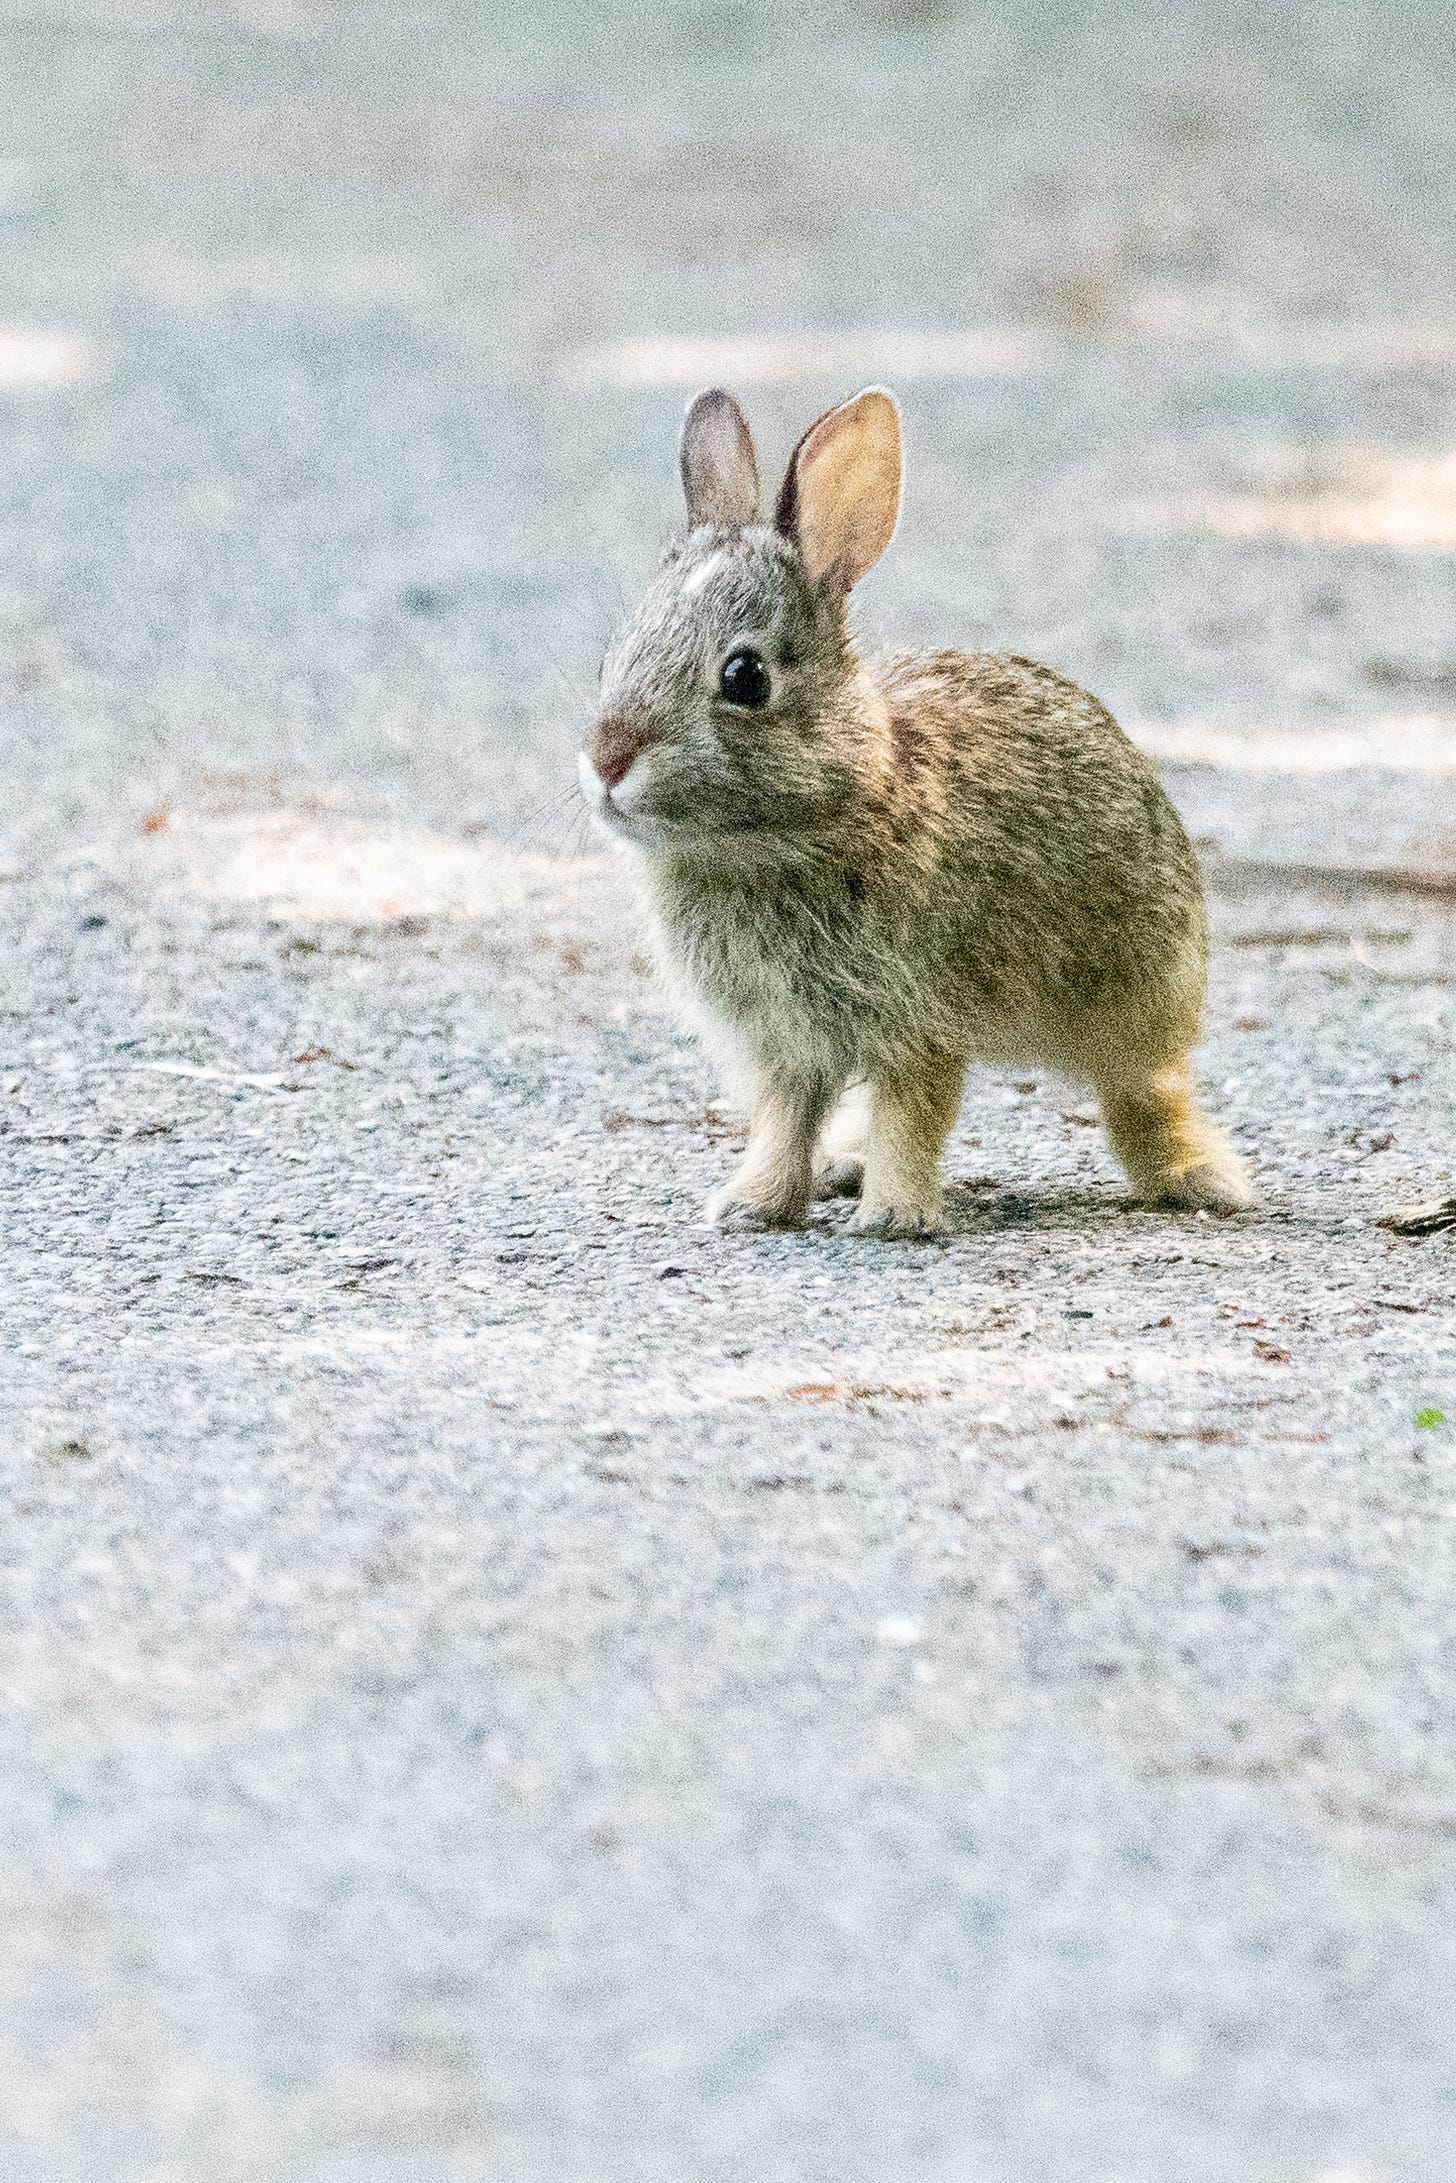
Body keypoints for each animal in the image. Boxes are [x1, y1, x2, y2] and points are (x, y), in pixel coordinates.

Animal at [580, 384, 1257, 1239]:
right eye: (616, 655)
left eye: (744, 677)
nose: (605, 758)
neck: (804, 826)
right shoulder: (785, 1043)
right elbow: (784, 1120)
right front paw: (754, 1204)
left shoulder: (918, 1022)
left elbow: (912, 1113)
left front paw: (893, 1219)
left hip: (1139, 995)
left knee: (1140, 1091)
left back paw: (1201, 1179)